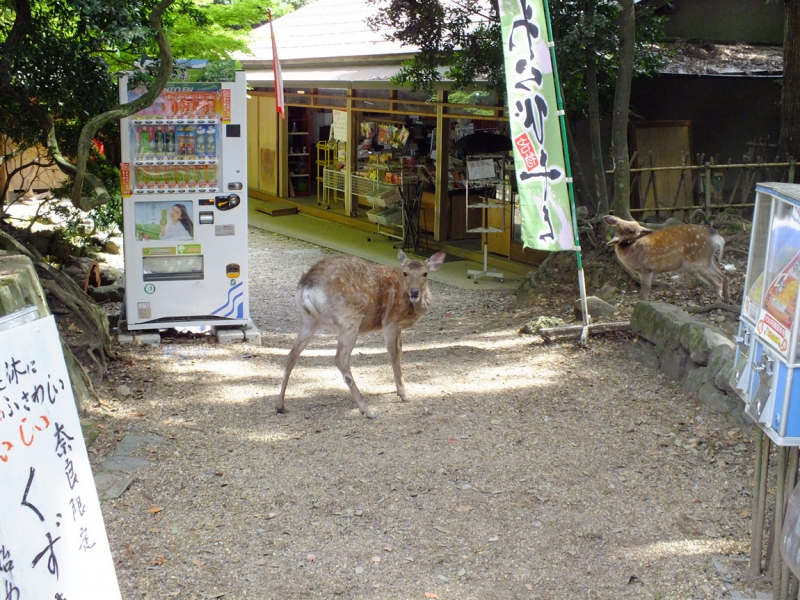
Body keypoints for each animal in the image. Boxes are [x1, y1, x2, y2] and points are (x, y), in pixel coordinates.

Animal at [278, 248, 446, 418]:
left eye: (425, 273)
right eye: (405, 273)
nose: (414, 292)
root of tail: (307, 287)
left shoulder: (398, 327)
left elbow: (399, 352)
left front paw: (401, 391)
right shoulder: (390, 322)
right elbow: (394, 354)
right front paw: (404, 394)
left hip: (308, 319)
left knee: (292, 354)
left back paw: (280, 406)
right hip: (350, 319)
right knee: (340, 359)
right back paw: (367, 410)